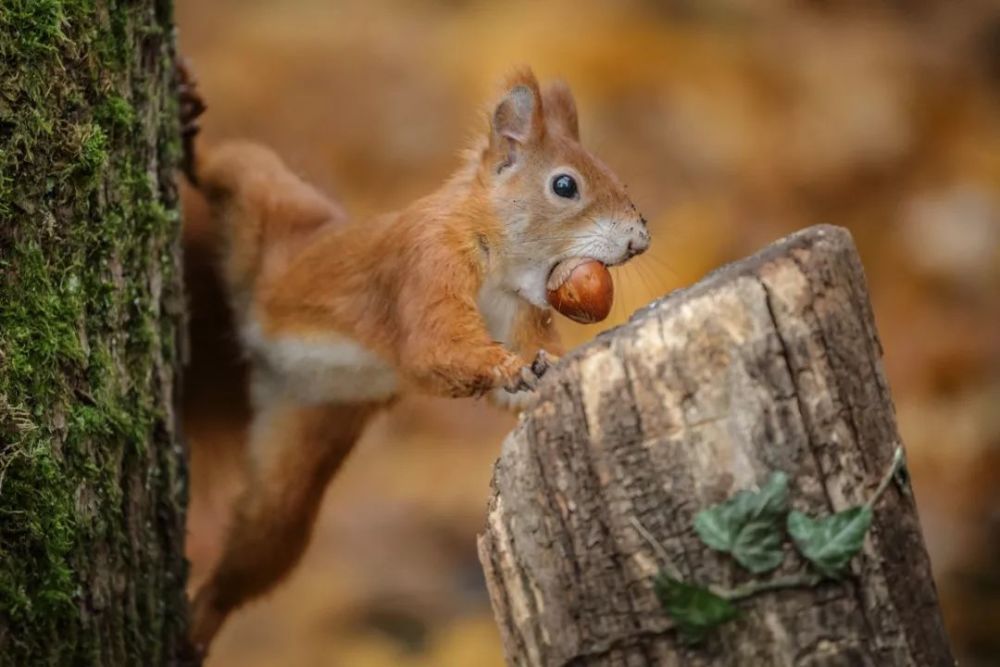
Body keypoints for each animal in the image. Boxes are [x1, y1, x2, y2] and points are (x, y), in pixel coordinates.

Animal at [178, 64, 648, 652]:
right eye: (565, 185)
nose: (639, 240)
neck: (497, 260)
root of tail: (255, 347)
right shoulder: (427, 262)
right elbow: (432, 345)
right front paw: (512, 368)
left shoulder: (515, 311)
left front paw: (544, 373)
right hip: (274, 206)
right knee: (234, 165)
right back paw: (187, 126)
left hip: (303, 447)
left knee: (256, 549)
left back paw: (202, 622)